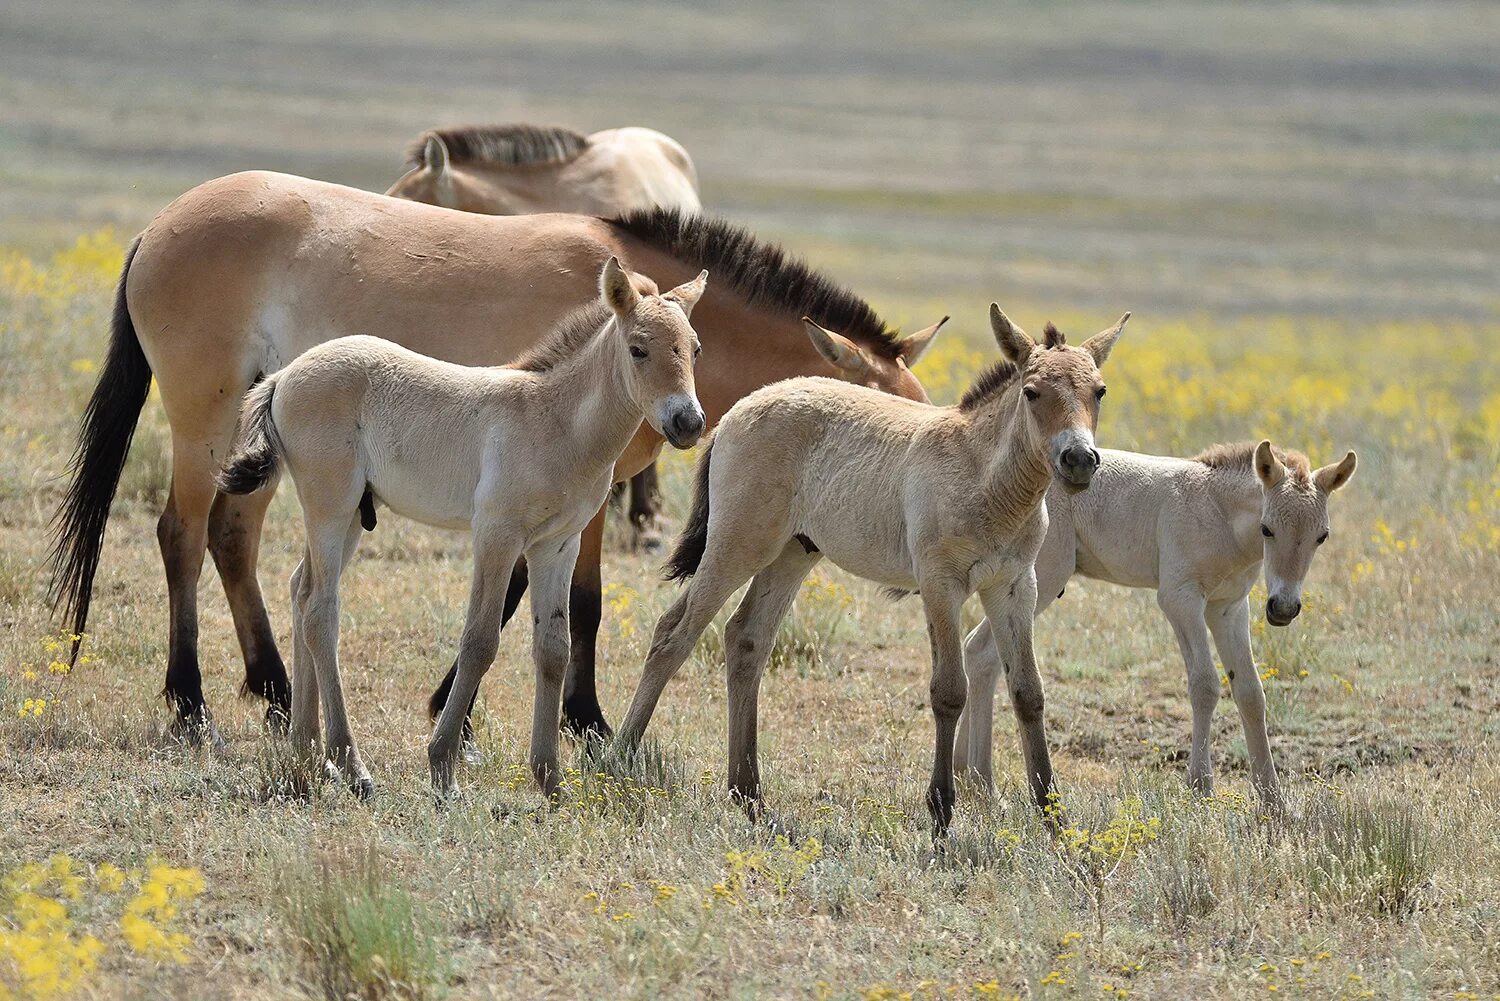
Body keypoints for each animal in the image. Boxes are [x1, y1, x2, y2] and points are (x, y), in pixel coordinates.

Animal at [52, 168, 942, 744]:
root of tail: (157, 228)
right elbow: (555, 604)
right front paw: (562, 718)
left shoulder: (575, 501)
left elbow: (550, 604)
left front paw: (542, 714)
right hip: (204, 424)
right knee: (181, 536)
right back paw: (190, 700)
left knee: (234, 541)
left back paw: (273, 689)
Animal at [612, 306, 1128, 840]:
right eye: (1032, 392)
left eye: (1099, 391)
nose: (1078, 459)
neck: (985, 478)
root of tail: (737, 409)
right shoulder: (941, 584)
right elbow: (949, 690)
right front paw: (941, 813)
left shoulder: (1014, 587)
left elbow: (1029, 692)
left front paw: (1055, 821)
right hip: (737, 547)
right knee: (673, 634)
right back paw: (620, 759)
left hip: (792, 554)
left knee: (746, 638)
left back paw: (749, 796)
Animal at [960, 441, 1362, 816]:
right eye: (1268, 528)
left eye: (1322, 536)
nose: (1283, 608)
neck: (1217, 513)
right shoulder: (1180, 598)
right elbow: (1205, 685)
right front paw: (1200, 788)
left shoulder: (1229, 608)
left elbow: (1250, 693)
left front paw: (1273, 802)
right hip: (1039, 578)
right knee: (983, 651)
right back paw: (981, 785)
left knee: (979, 654)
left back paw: (971, 780)